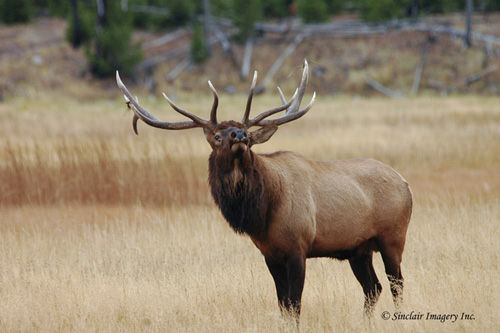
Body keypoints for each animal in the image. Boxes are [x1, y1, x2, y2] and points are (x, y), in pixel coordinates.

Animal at [115, 61, 412, 320]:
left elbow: (295, 304)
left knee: (396, 284)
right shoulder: (270, 254)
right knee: (373, 288)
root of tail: (405, 183)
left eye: (245, 131)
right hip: (358, 249)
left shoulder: (298, 247)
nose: (240, 135)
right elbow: (283, 304)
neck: (264, 212)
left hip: (393, 236)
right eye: (217, 136)